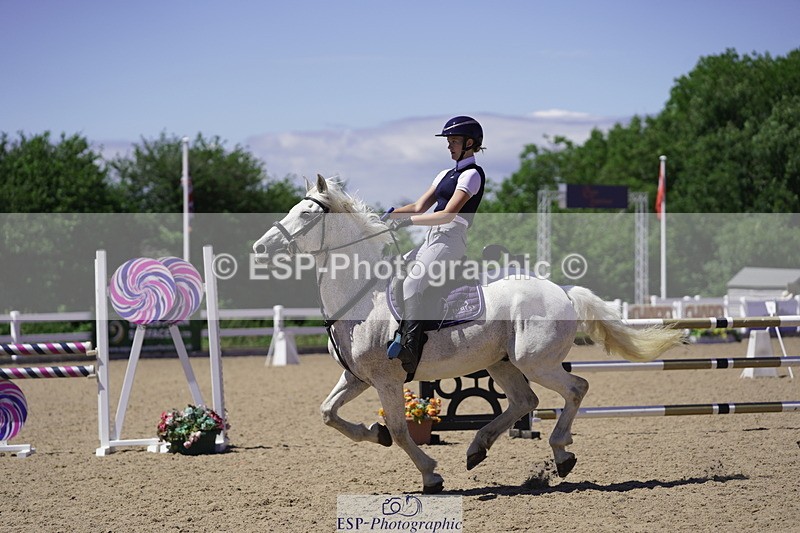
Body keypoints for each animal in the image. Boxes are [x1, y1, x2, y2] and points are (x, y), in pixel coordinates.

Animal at [253, 174, 684, 494]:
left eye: (307, 215)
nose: (259, 247)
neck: (363, 295)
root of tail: (562, 290)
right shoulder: (357, 376)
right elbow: (328, 414)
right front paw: (373, 433)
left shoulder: (387, 380)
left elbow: (400, 429)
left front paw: (430, 474)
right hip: (501, 364)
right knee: (525, 400)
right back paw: (479, 448)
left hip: (536, 362)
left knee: (576, 388)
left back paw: (561, 454)